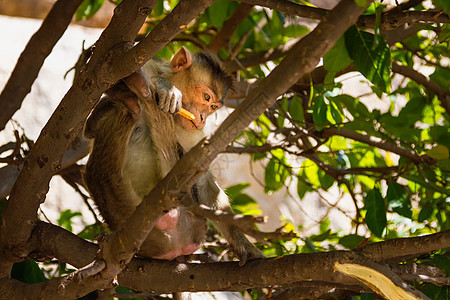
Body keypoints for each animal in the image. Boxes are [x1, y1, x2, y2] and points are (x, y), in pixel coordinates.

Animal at [83, 48, 264, 266]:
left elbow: (203, 182)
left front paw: (244, 245)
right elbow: (90, 124)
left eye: (213, 107)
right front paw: (165, 87)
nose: (202, 119)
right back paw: (136, 93)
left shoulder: (194, 134)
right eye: (206, 97)